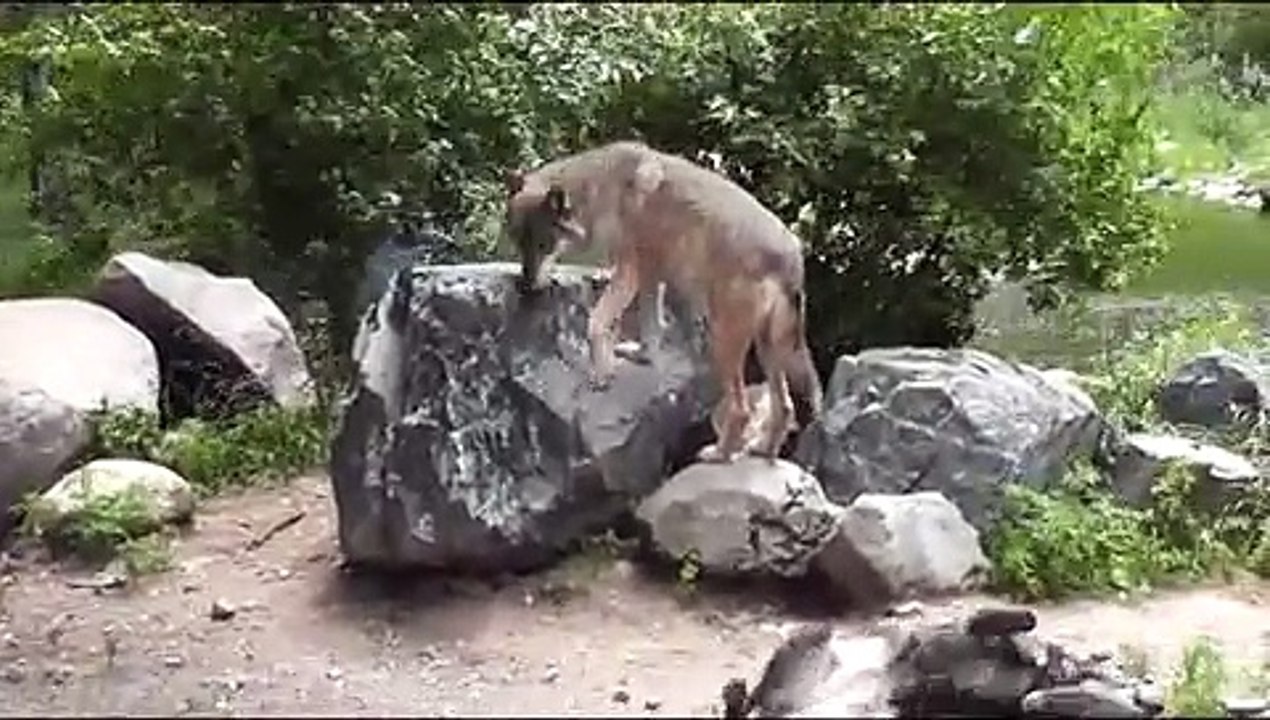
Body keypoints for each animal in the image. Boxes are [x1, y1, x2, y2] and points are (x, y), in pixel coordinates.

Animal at [504, 140, 822, 462]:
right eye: (517, 241)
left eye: (544, 245)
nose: (526, 286)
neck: (600, 189)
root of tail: (793, 257)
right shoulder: (650, 274)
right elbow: (651, 326)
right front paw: (641, 355)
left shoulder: (629, 271)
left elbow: (596, 321)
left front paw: (602, 373)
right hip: (767, 349)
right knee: (785, 407)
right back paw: (762, 450)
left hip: (723, 342)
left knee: (742, 409)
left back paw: (719, 454)